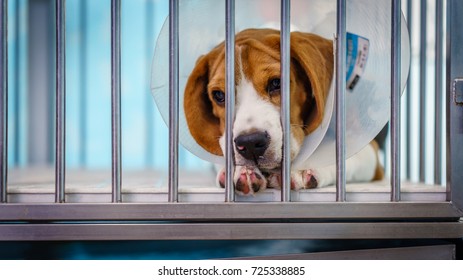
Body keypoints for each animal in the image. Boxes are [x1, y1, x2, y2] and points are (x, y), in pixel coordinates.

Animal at [185, 28, 384, 195]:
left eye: (276, 83)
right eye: (219, 95)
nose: (250, 143)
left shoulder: (369, 152)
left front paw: (302, 167)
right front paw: (241, 170)